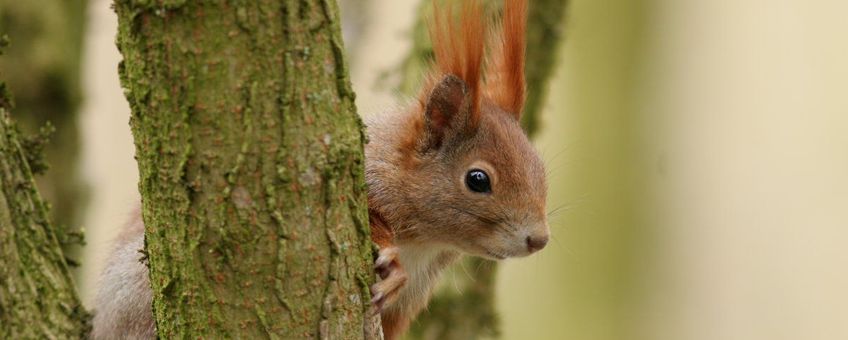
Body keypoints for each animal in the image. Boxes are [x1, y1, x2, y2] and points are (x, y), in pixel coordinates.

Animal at [91, 1, 544, 338]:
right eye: (477, 179)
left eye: (541, 167)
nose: (539, 239)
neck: (427, 242)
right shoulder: (367, 180)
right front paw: (391, 265)